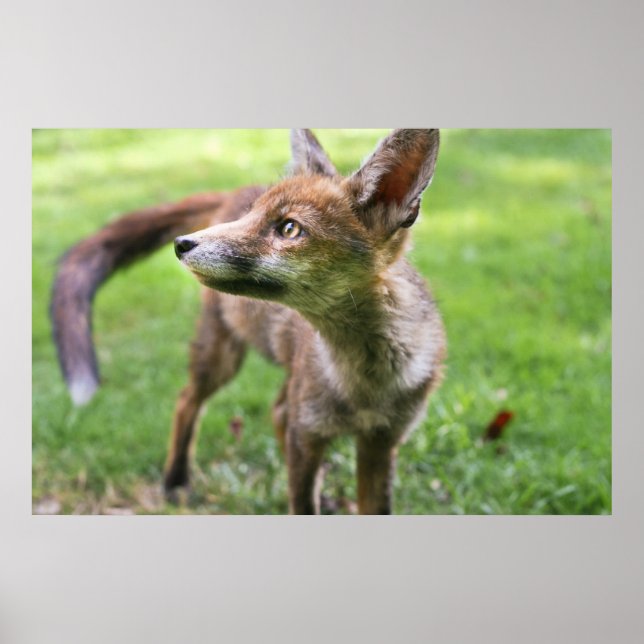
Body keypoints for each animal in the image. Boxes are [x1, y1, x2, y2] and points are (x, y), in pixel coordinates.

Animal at [51, 129, 446, 514]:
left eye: (289, 229)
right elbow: (301, 503)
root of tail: (235, 192)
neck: (364, 384)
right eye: (251, 216)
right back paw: (175, 480)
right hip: (221, 356)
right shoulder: (308, 432)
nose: (181, 244)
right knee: (187, 400)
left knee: (276, 410)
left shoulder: (382, 442)